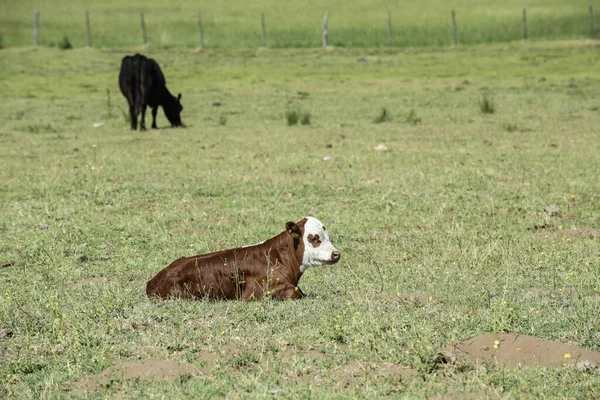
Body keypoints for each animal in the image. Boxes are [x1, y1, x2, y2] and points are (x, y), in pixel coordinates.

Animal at [146, 216, 340, 300]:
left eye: (328, 237)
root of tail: (153, 281)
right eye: (314, 238)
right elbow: (295, 292)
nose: (336, 253)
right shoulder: (252, 293)